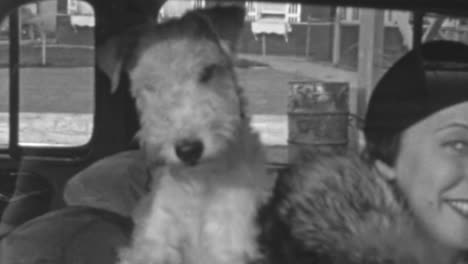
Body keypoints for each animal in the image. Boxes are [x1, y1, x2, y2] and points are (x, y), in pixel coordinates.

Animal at [98, 5, 274, 264]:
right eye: (150, 85)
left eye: (207, 72)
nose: (188, 150)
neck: (200, 181)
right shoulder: (157, 235)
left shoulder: (229, 239)